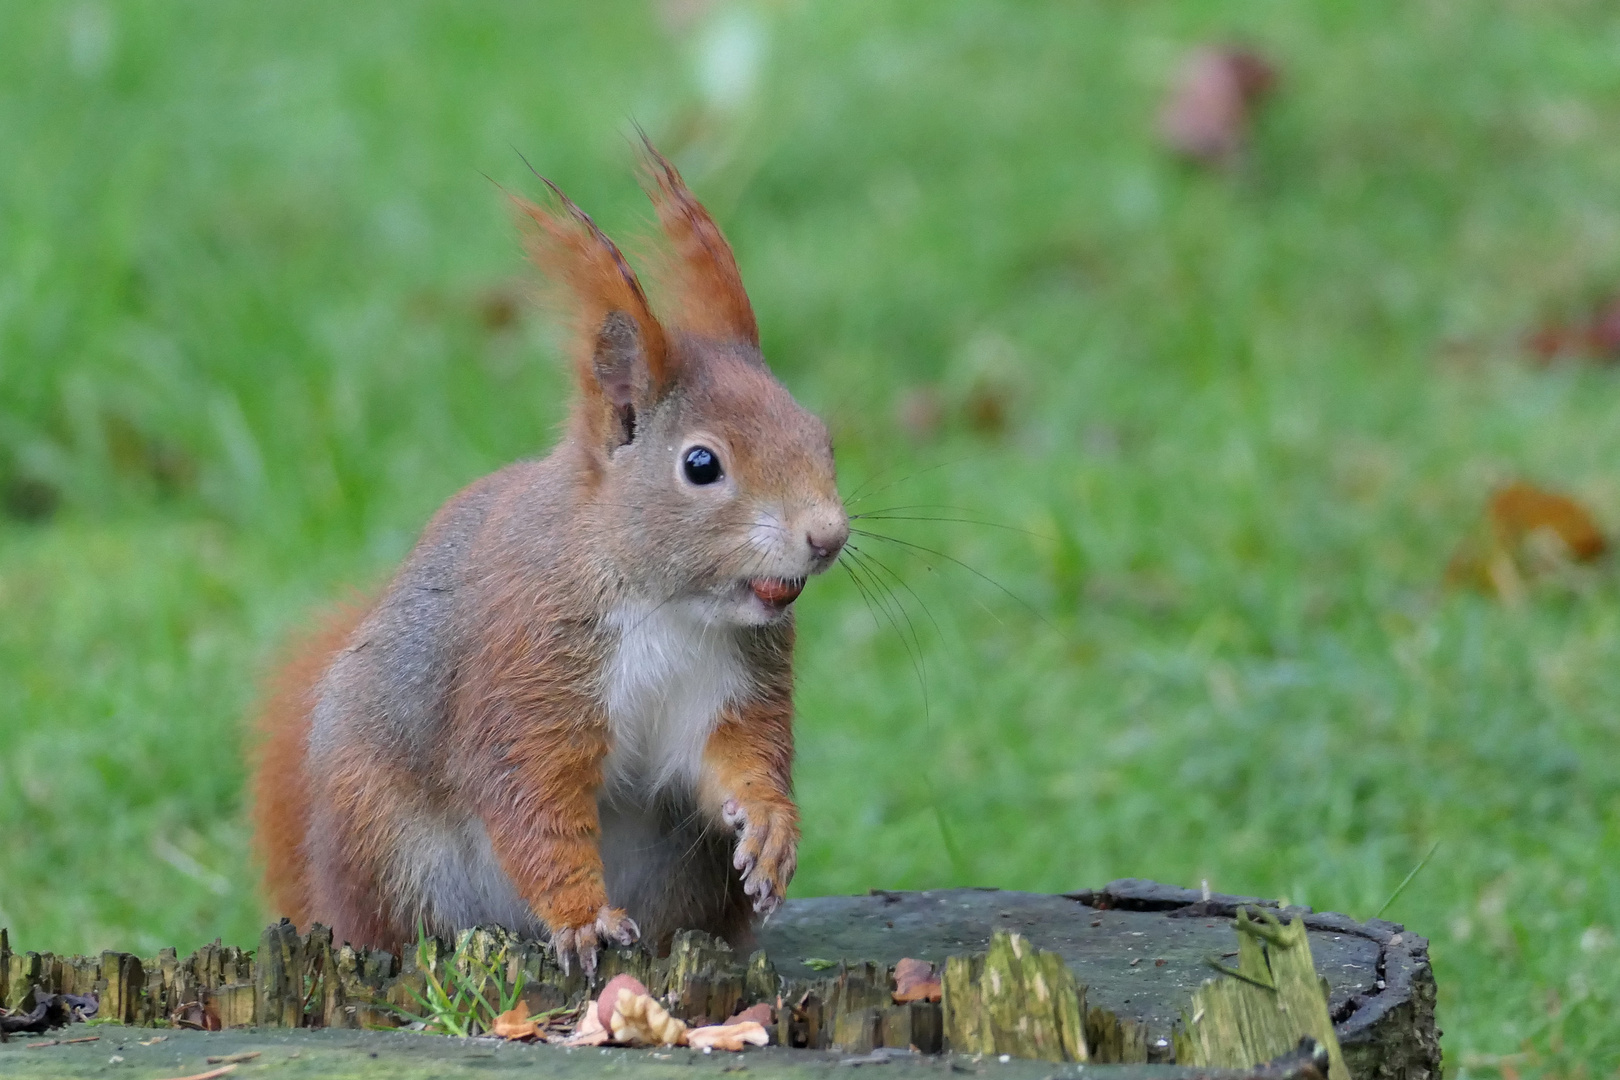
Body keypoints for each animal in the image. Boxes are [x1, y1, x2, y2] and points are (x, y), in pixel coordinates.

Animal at [249, 139, 848, 977]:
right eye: (701, 465)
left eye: (821, 436)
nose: (827, 537)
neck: (667, 605)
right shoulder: (526, 673)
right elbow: (534, 803)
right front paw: (582, 917)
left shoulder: (737, 682)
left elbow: (734, 757)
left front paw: (769, 825)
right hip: (380, 837)